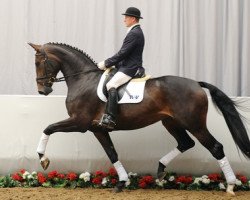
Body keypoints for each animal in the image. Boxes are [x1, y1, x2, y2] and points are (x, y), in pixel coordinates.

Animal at [29, 42, 250, 194]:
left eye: (39, 62)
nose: (42, 90)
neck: (84, 79)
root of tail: (196, 83)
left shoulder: (80, 122)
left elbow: (48, 128)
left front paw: (43, 159)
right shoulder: (97, 129)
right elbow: (112, 154)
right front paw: (121, 182)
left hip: (194, 124)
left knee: (215, 147)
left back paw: (230, 185)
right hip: (171, 122)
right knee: (186, 143)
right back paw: (160, 170)